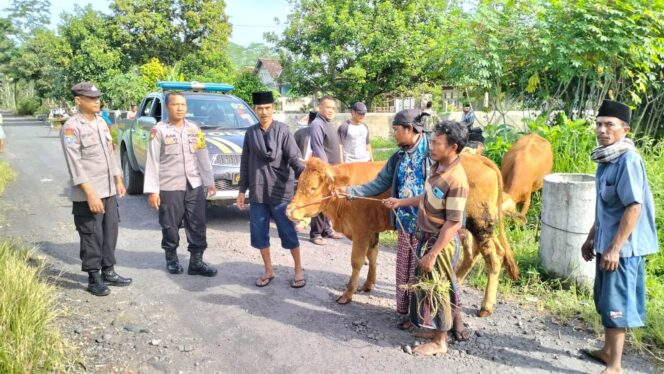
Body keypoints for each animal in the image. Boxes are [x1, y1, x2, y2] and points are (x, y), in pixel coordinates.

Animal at [288, 155, 520, 316]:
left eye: (313, 188)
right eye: (299, 182)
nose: (289, 211)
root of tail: (478, 158)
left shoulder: (361, 231)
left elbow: (357, 262)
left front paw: (347, 294)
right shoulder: (371, 230)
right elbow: (372, 256)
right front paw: (368, 284)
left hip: (480, 223)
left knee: (494, 257)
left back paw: (486, 306)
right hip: (471, 226)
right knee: (475, 253)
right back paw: (457, 282)